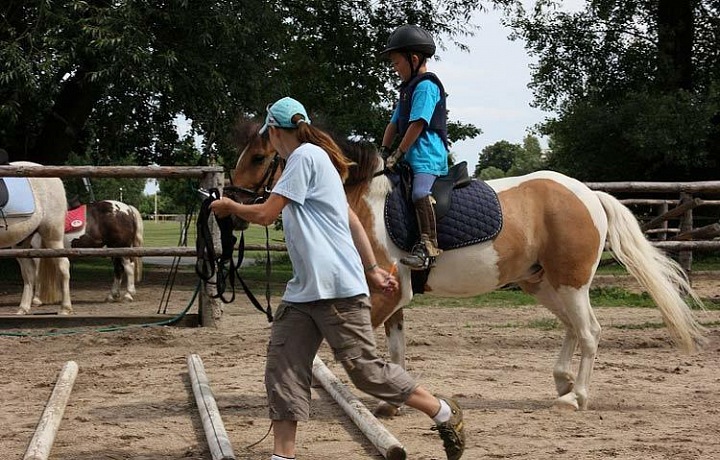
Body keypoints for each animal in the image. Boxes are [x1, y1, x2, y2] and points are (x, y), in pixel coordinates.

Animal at [0, 161, 72, 315]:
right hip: (22, 243)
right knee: (29, 274)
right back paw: (23, 308)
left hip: (53, 237)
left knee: (63, 266)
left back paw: (65, 308)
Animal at [228, 126, 706, 412]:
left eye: (258, 158)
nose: (232, 213)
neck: (354, 198)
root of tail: (588, 193)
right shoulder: (391, 297)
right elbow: (394, 352)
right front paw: (394, 403)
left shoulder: (382, 293)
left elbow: (355, 354)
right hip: (542, 284)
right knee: (573, 327)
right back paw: (562, 382)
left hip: (570, 282)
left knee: (589, 331)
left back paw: (576, 398)